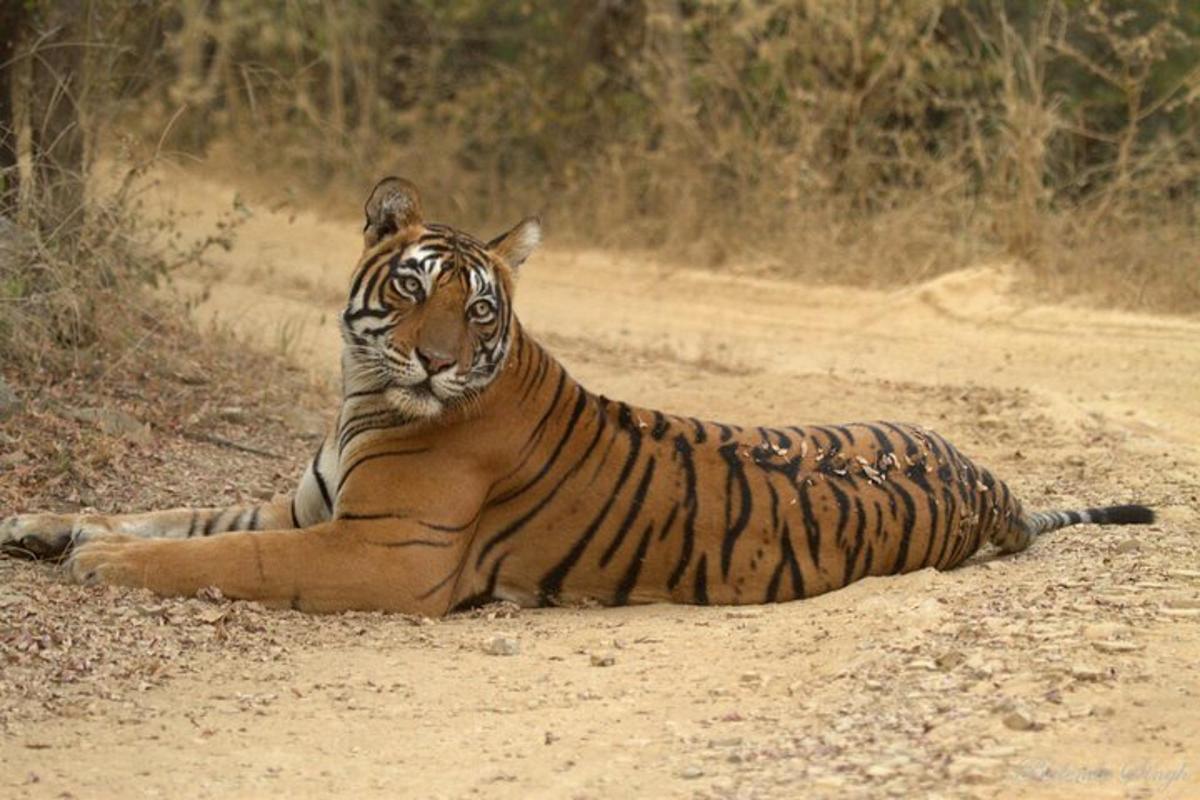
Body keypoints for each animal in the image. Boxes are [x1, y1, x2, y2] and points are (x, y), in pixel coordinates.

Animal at [0, 175, 1152, 614]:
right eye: (413, 288)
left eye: (477, 311)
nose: (432, 363)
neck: (360, 393)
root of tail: (994, 484)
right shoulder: (306, 505)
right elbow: (174, 512)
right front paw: (44, 524)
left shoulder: (380, 551)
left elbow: (216, 556)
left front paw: (103, 562)